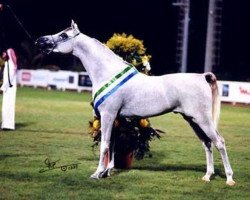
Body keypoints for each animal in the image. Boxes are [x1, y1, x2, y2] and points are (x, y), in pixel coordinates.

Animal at [36, 21, 235, 185]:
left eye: (63, 35)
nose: (40, 41)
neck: (107, 73)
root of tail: (202, 77)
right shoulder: (114, 118)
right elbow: (112, 144)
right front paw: (107, 171)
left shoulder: (107, 116)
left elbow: (105, 144)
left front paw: (97, 173)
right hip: (192, 120)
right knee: (207, 143)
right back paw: (207, 176)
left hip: (202, 120)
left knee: (219, 142)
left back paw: (229, 179)